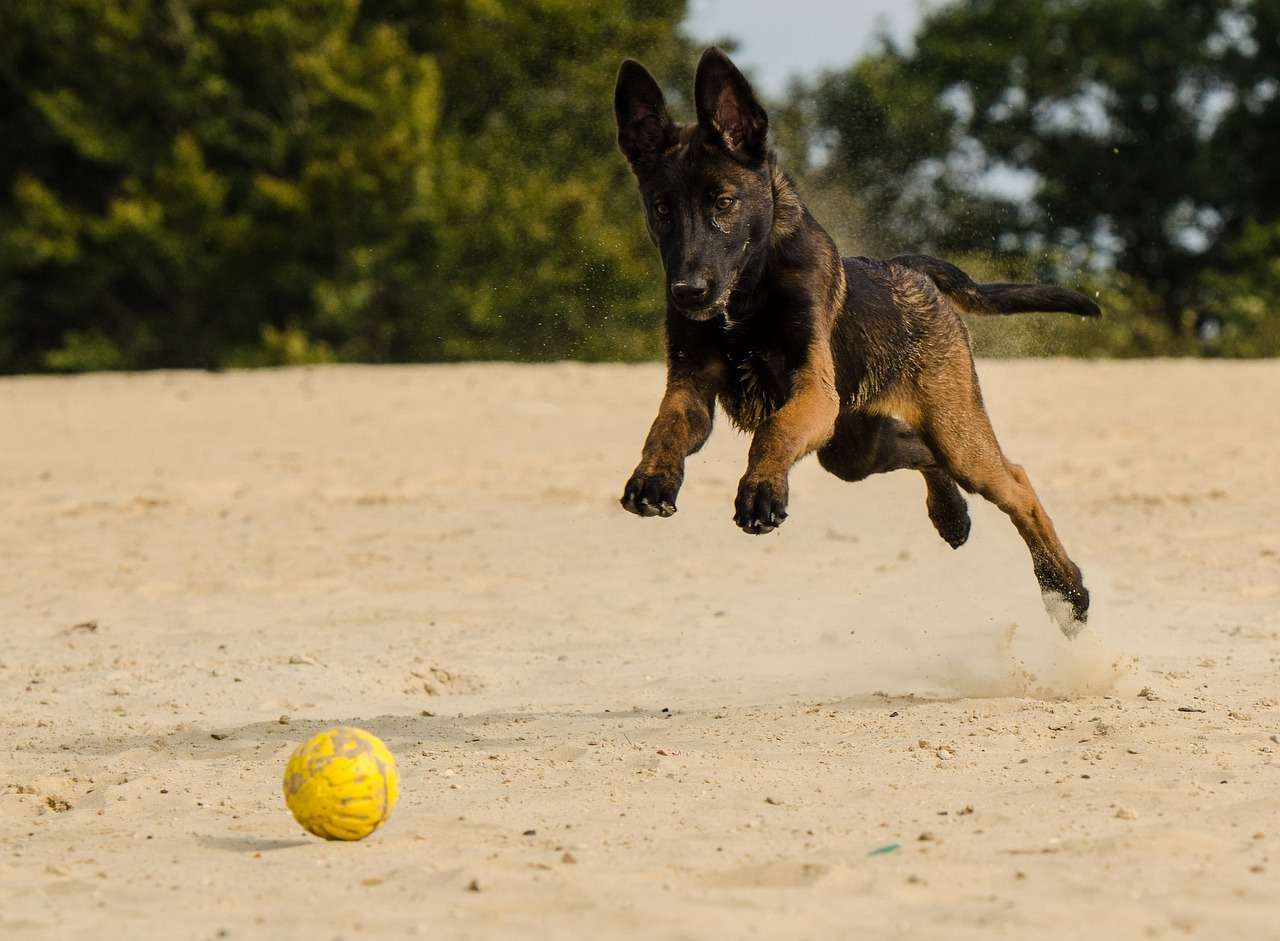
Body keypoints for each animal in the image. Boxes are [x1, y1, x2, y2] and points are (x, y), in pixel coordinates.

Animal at [614, 46, 1095, 640]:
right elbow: (664, 428)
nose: (688, 291)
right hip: (853, 447)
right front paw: (653, 479)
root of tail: (908, 269)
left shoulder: (812, 393)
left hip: (949, 432)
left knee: (1016, 483)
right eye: (661, 209)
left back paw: (1067, 591)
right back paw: (951, 514)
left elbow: (773, 433)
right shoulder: (691, 387)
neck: (746, 298)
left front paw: (762, 489)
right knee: (921, 452)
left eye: (723, 202)